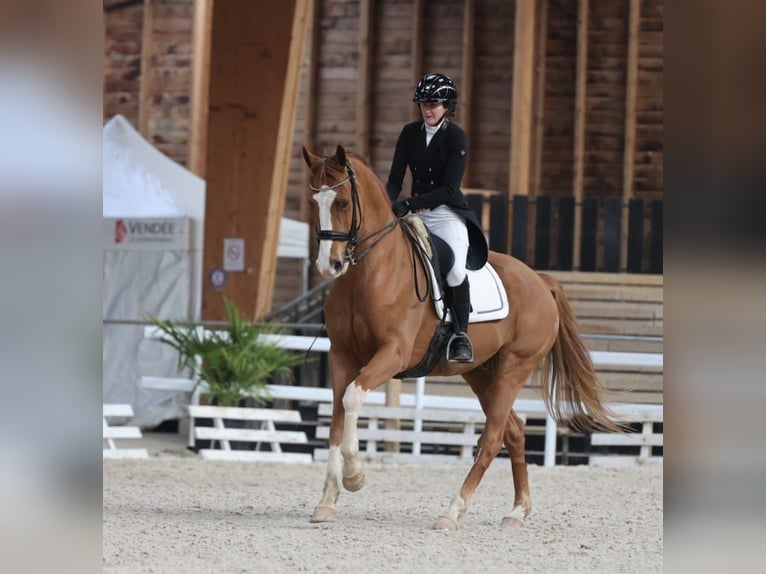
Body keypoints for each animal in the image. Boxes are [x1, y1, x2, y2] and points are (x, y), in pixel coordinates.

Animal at [304, 146, 620, 532]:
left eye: (344, 202)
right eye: (313, 202)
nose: (329, 265)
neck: (370, 273)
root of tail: (540, 280)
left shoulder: (393, 354)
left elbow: (351, 398)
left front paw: (354, 477)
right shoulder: (342, 356)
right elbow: (337, 415)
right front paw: (327, 500)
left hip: (514, 367)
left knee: (493, 437)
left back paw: (452, 511)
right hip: (480, 372)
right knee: (514, 430)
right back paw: (517, 510)